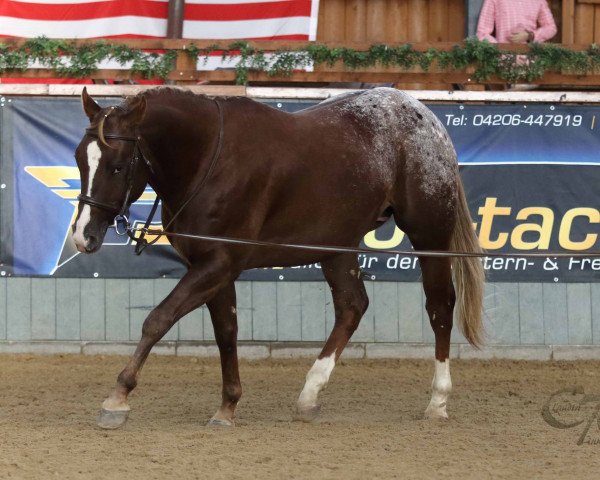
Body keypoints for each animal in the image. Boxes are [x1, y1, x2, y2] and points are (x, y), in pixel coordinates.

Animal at [72, 85, 486, 428]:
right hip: (337, 246)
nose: (83, 235)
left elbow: (158, 320)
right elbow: (226, 331)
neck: (208, 157)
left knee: (439, 307)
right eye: (79, 159)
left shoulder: (218, 263)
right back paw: (309, 395)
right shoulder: (213, 266)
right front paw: (228, 406)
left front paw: (118, 398)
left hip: (430, 237)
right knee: (352, 306)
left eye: (118, 166)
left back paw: (437, 401)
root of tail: (427, 119)